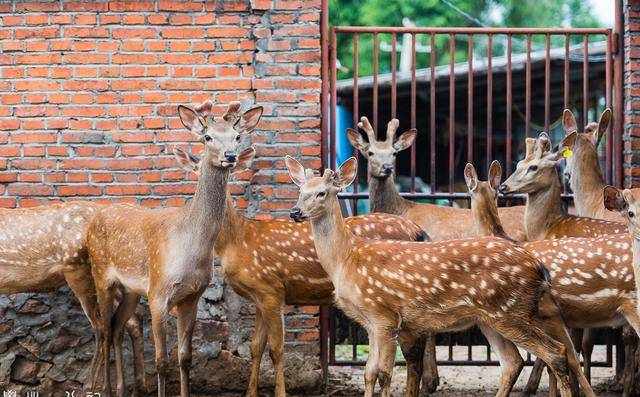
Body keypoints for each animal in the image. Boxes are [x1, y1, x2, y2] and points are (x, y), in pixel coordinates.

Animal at [87, 100, 262, 396]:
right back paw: (107, 389)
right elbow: (161, 361)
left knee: (118, 325)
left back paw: (122, 388)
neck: (191, 248)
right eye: (207, 137)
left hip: (131, 289)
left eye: (237, 136)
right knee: (104, 329)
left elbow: (185, 357)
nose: (230, 156)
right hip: (101, 276)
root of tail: (92, 223)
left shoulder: (192, 296)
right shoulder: (158, 292)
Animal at [174, 148, 430, 396]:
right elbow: (256, 347)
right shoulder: (259, 295)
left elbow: (276, 349)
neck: (236, 240)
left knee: (413, 355)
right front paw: (250, 393)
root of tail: (418, 231)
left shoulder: (271, 289)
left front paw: (280, 392)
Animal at [284, 155, 596, 396]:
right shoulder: (370, 322)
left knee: (555, 352)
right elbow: (369, 373)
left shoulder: (385, 314)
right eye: (299, 190)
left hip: (511, 311)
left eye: (322, 192)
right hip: (492, 318)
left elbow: (383, 372)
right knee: (515, 361)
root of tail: (539, 267)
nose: (295, 211)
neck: (347, 260)